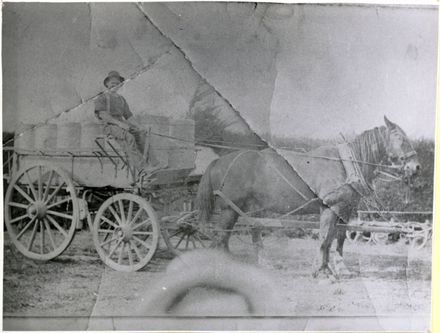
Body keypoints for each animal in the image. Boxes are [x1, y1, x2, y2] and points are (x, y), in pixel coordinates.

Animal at [196, 115, 420, 276]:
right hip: (228, 209)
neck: (345, 165)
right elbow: (324, 239)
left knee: (238, 236)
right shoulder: (330, 207)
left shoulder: (344, 210)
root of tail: (219, 161)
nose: (415, 167)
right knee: (221, 238)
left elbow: (338, 238)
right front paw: (321, 271)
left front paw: (337, 268)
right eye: (399, 138)